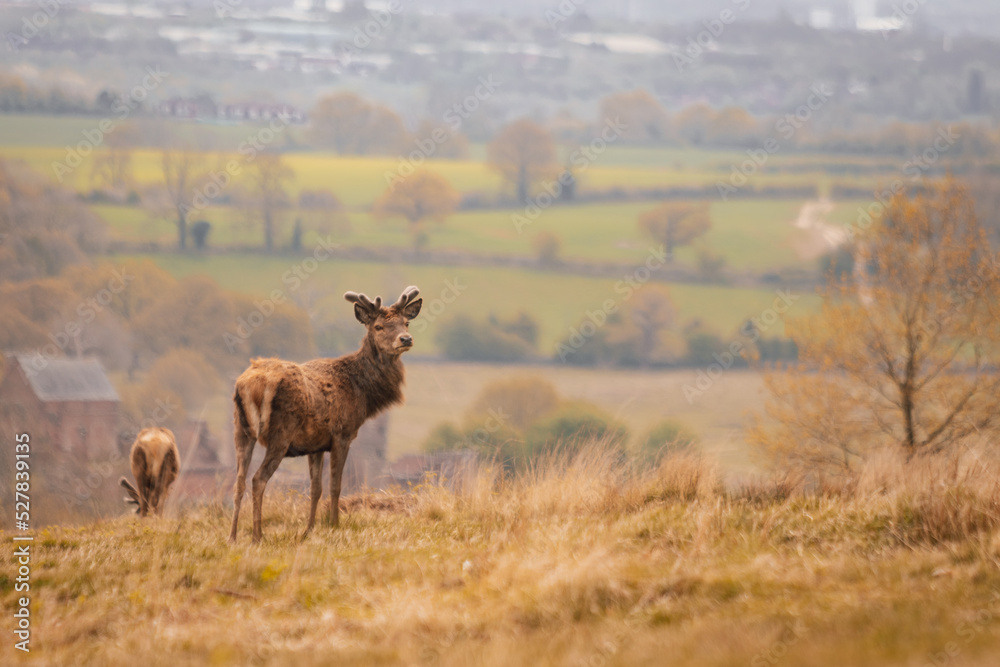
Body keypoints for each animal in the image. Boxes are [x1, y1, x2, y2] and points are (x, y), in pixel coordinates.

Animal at [228, 285, 422, 544]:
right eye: (378, 326)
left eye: (406, 323)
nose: (405, 339)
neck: (362, 393)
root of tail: (249, 384)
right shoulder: (342, 433)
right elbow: (335, 485)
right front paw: (334, 526)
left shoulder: (315, 444)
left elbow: (315, 488)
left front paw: (308, 530)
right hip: (281, 433)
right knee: (258, 479)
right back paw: (258, 536)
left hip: (241, 430)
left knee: (238, 481)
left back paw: (232, 537)